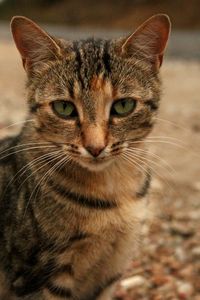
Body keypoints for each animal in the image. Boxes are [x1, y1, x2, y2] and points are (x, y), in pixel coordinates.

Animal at [0, 14, 170, 300]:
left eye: (123, 106)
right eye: (64, 108)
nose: (95, 146)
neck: (111, 193)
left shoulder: (113, 266)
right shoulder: (37, 276)